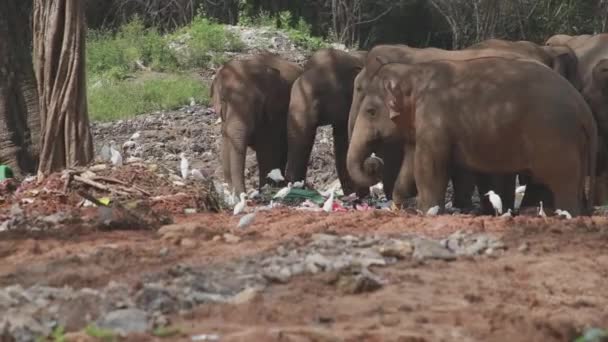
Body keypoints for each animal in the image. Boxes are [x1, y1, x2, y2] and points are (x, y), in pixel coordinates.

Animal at [210, 52, 302, 196]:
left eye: (257, 102)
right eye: (224, 99)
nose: (244, 195)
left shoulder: (274, 112)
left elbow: (267, 149)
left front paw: (264, 189)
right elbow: (226, 144)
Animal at [346, 57, 600, 215]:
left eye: (370, 111)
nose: (373, 164)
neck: (414, 72)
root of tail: (583, 108)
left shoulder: (434, 115)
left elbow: (428, 166)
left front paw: (427, 211)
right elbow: (409, 166)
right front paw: (398, 207)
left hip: (554, 137)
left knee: (560, 180)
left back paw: (565, 214)